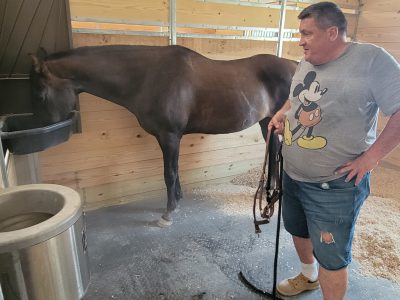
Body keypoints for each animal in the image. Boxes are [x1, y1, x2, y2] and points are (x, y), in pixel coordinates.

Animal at [29, 44, 296, 226]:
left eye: (40, 94)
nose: (41, 133)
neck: (149, 76)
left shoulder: (169, 136)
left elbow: (169, 173)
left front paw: (168, 212)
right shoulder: (169, 137)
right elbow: (175, 170)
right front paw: (178, 199)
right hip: (267, 122)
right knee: (274, 154)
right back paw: (269, 194)